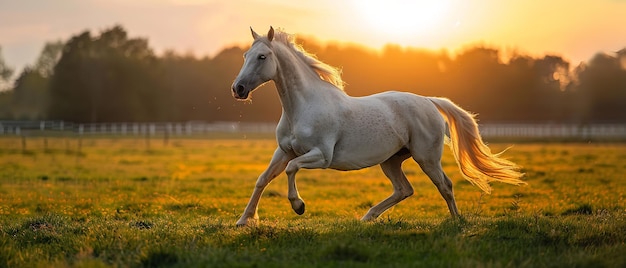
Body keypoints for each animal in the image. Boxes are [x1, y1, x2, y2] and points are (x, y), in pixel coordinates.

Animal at [229, 26, 520, 226]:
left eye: (262, 57)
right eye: (245, 55)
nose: (238, 89)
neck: (302, 107)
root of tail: (428, 101)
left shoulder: (321, 156)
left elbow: (291, 170)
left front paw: (298, 206)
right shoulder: (284, 151)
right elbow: (263, 179)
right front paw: (244, 220)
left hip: (426, 158)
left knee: (445, 185)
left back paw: (456, 222)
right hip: (391, 160)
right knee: (404, 189)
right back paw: (367, 217)